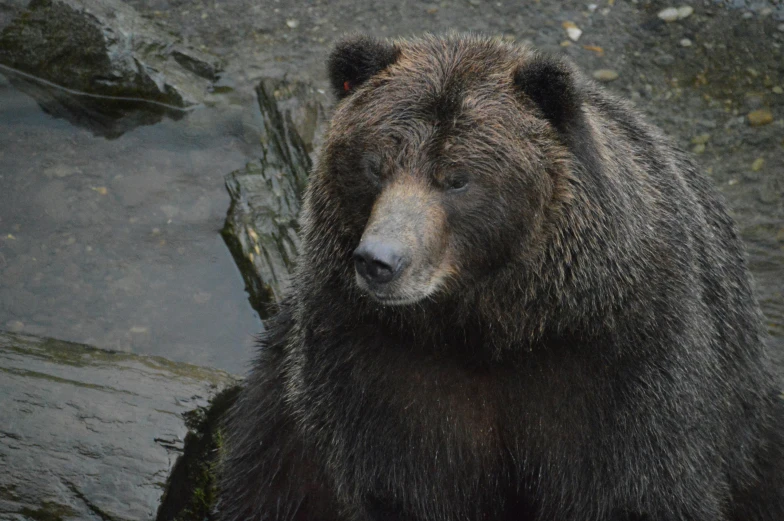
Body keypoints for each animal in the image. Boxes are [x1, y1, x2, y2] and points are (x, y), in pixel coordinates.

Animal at [214, 33, 784, 520]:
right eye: (375, 164)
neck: (494, 323)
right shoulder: (375, 360)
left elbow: (635, 486)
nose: (380, 261)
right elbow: (403, 484)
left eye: (456, 179)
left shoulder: (622, 358)